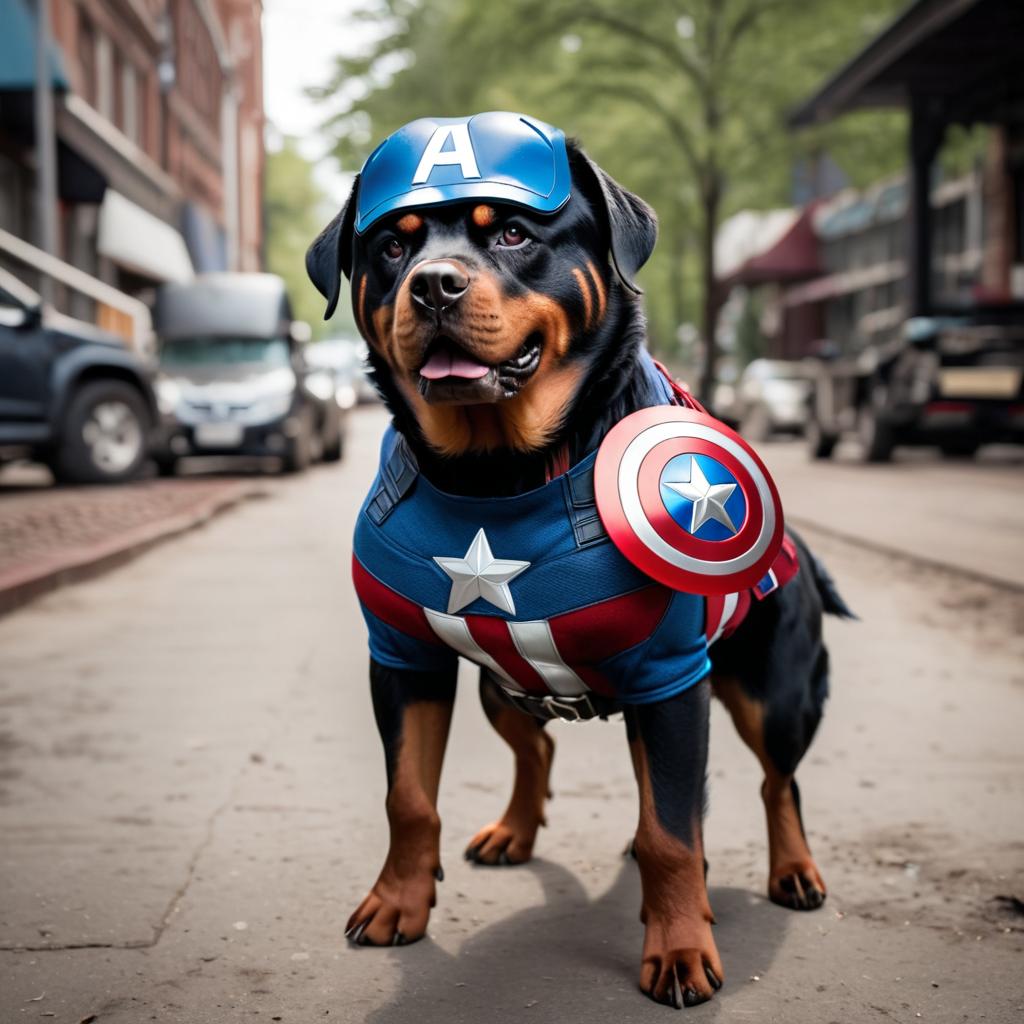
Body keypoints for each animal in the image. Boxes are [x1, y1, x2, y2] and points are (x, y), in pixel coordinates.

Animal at [307, 112, 851, 1007]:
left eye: (514, 234)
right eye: (391, 246)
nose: (433, 285)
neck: (498, 475)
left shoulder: (672, 677)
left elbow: (671, 829)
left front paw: (679, 947)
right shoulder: (405, 657)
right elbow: (409, 796)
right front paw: (397, 903)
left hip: (772, 694)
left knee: (776, 781)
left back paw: (794, 871)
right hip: (504, 685)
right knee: (543, 750)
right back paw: (514, 831)